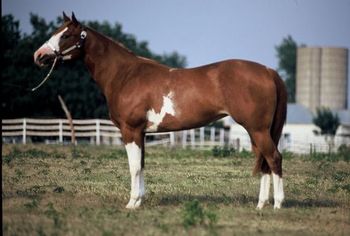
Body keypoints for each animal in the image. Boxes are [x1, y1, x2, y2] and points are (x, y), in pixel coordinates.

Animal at [33, 12, 288, 209]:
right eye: (56, 32)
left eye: (65, 35)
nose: (39, 56)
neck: (125, 75)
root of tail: (268, 71)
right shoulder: (142, 133)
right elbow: (142, 165)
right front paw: (139, 201)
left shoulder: (130, 131)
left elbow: (134, 167)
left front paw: (131, 203)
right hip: (258, 131)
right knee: (264, 161)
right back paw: (261, 204)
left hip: (257, 130)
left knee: (274, 158)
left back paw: (277, 204)